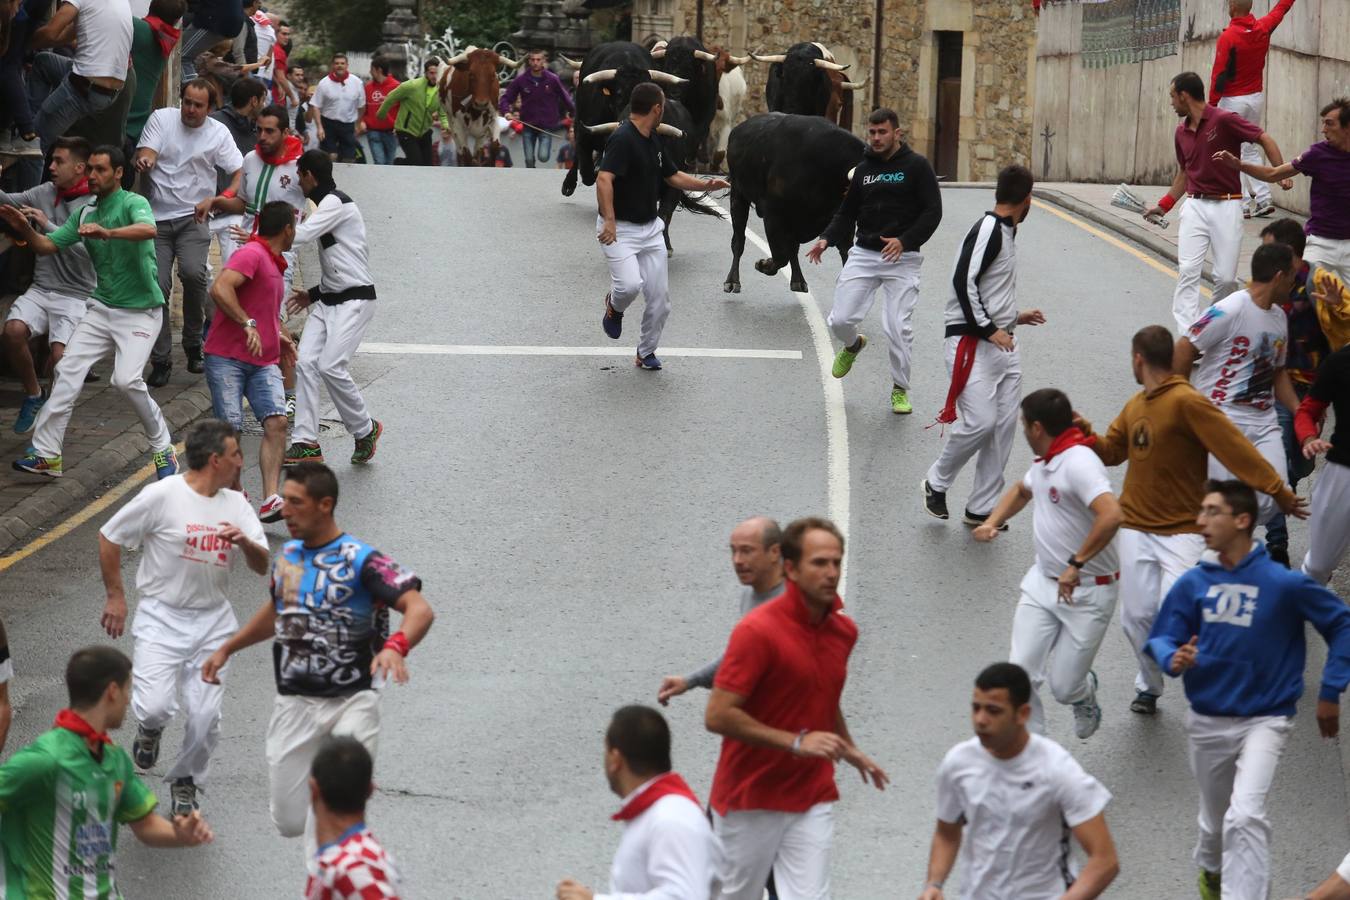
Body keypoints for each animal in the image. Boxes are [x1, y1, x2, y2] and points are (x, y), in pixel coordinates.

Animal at [723, 111, 858, 295]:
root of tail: (738, 130)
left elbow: (845, 254)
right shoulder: (773, 215)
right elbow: (781, 255)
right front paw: (763, 264)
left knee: (792, 248)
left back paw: (798, 282)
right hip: (738, 196)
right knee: (738, 241)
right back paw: (732, 282)